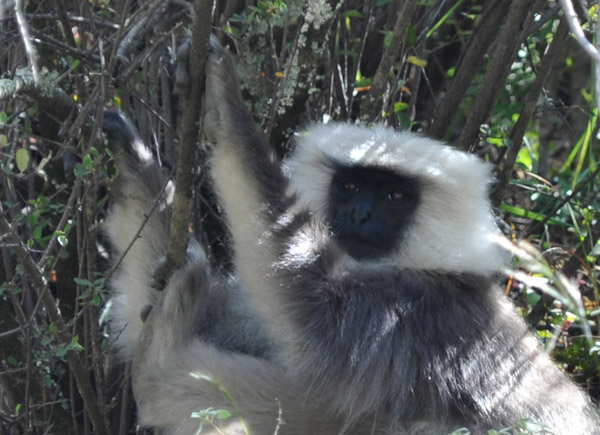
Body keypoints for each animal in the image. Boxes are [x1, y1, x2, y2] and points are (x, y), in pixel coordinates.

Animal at [104, 40, 600, 435]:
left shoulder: (419, 316)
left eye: (395, 196)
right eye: (350, 186)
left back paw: (160, 358)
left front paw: (225, 105)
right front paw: (135, 160)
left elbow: (313, 305)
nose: (361, 214)